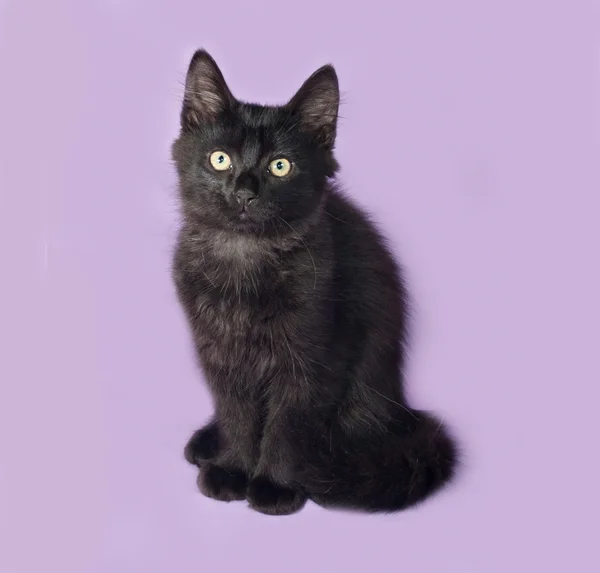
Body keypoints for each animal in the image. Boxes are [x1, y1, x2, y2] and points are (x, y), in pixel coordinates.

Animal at [171, 49, 458, 512]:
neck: (246, 257)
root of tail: (400, 411)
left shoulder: (314, 355)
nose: (244, 193)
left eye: (280, 166)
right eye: (220, 159)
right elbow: (237, 412)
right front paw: (232, 468)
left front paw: (273, 485)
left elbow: (288, 421)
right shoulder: (219, 350)